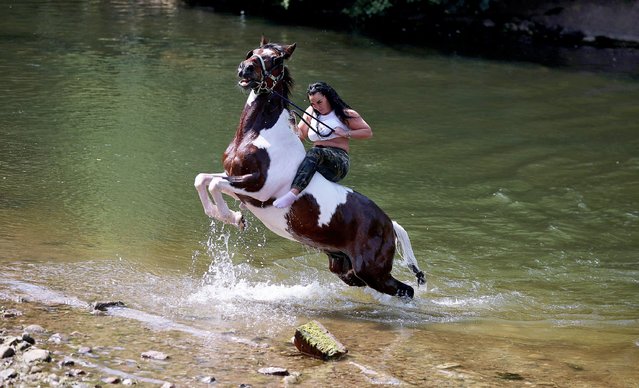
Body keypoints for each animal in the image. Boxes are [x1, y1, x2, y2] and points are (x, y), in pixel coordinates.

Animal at [195, 36, 424, 298]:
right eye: (252, 52)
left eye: (277, 59)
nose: (246, 69)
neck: (258, 136)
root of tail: (389, 224)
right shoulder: (235, 179)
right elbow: (203, 179)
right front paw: (231, 217)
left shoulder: (257, 189)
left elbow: (214, 183)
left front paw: (234, 218)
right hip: (345, 267)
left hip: (372, 270)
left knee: (406, 290)